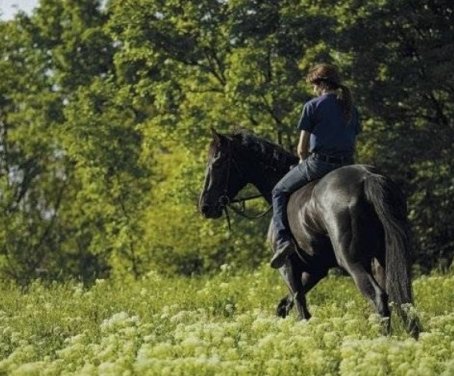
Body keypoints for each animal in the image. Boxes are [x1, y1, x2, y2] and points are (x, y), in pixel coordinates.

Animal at [200, 130, 420, 338]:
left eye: (217, 162)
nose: (205, 207)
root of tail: (367, 178)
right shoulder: (315, 269)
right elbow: (284, 304)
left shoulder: (288, 267)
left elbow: (299, 304)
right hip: (382, 259)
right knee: (401, 298)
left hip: (353, 261)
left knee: (378, 296)